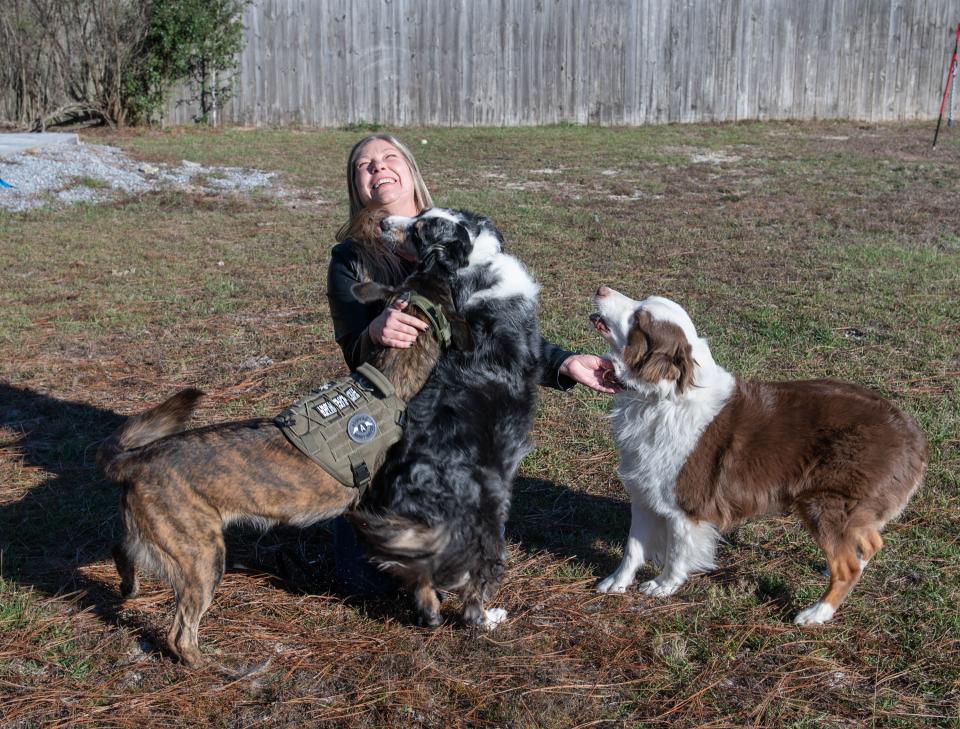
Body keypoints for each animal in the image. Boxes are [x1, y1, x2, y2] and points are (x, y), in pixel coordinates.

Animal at [346, 209, 544, 624]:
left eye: (420, 226)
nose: (384, 222)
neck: (473, 259)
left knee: (422, 582)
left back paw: (432, 611)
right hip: (491, 521)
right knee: (473, 596)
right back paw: (490, 618)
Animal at [588, 288, 928, 624]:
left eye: (639, 319)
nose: (601, 289)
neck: (660, 397)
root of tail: (913, 435)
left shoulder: (684, 506)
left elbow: (677, 552)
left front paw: (664, 585)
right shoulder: (644, 494)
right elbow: (633, 548)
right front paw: (617, 582)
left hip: (824, 505)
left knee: (847, 567)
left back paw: (816, 612)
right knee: (870, 542)